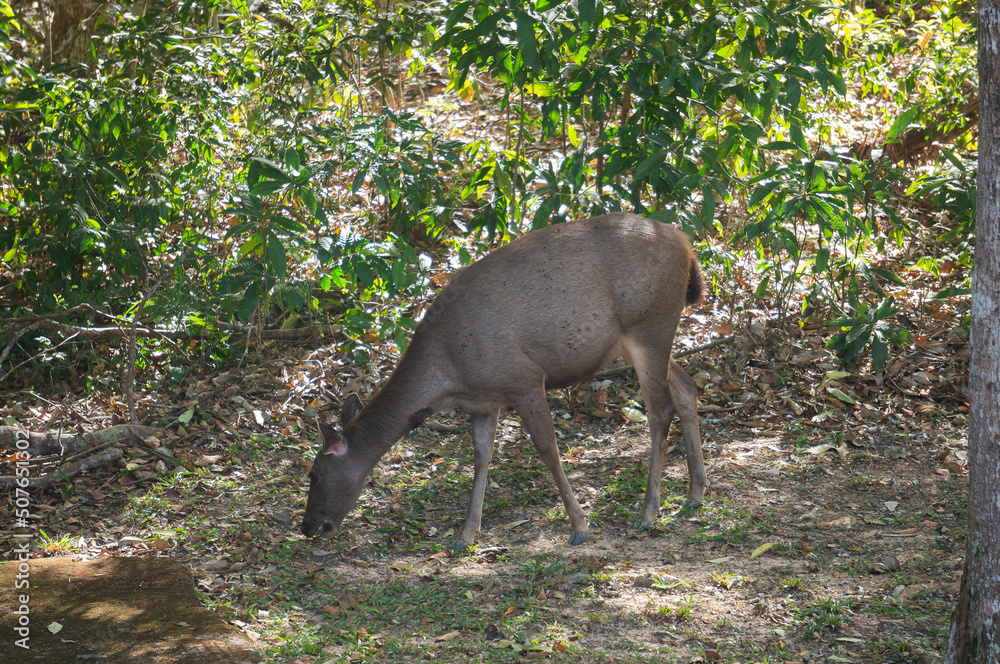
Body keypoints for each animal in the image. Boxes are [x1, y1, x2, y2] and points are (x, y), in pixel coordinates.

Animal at [301, 213, 707, 549]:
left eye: (314, 475)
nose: (308, 527)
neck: (447, 376)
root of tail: (687, 246)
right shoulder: (484, 400)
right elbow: (481, 458)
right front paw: (466, 534)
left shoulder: (523, 379)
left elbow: (547, 448)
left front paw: (579, 526)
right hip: (643, 338)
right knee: (686, 388)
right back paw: (695, 494)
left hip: (650, 323)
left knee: (660, 411)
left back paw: (649, 512)